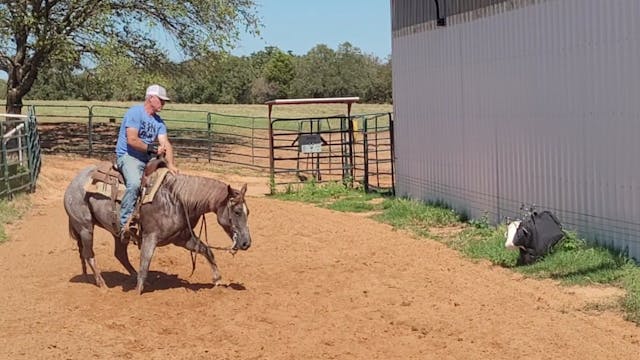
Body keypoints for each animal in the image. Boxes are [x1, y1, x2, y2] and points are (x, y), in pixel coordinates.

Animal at [62, 165, 251, 294]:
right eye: (237, 211)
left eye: (248, 211)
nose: (246, 243)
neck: (177, 199)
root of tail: (73, 183)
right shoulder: (150, 237)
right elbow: (145, 262)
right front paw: (138, 292)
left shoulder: (182, 239)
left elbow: (207, 250)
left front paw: (218, 280)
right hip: (85, 228)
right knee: (89, 254)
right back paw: (102, 284)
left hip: (118, 232)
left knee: (120, 254)